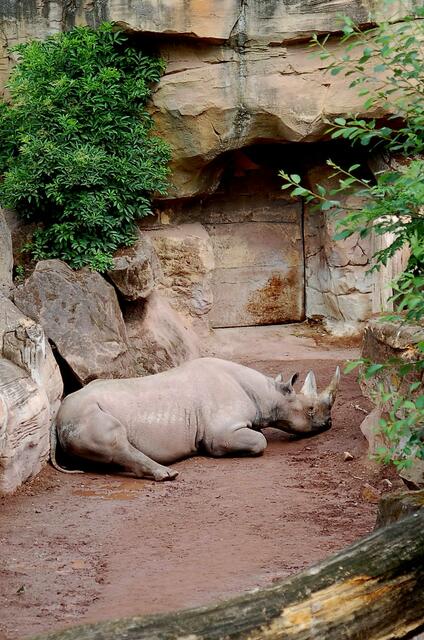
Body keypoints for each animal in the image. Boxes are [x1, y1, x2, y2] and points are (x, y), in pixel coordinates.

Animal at [51, 357, 340, 481]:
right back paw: (168, 474)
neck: (268, 393)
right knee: (115, 439)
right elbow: (260, 441)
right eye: (310, 409)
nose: (329, 424)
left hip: (79, 416)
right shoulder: (221, 433)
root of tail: (57, 418)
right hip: (86, 414)